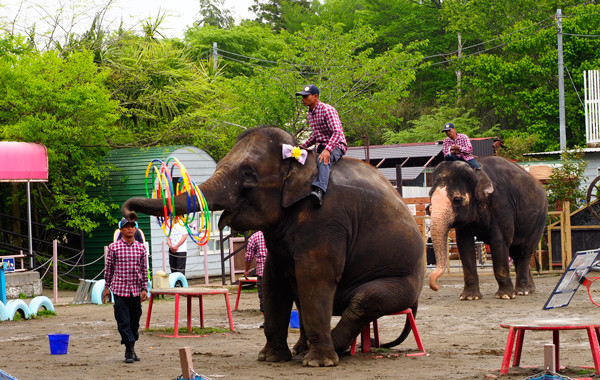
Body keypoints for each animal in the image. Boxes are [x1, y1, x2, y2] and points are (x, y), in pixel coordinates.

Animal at [120, 128, 426, 368]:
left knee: (365, 300)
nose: (130, 215)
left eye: (248, 175)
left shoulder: (326, 218)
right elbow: (272, 279)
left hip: (403, 282)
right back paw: (305, 349)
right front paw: (270, 358)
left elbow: (313, 276)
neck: (304, 162)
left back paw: (331, 350)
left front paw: (317, 364)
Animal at [426, 156, 548, 302]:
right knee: (515, 252)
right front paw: (469, 297)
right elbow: (464, 244)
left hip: (540, 219)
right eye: (430, 195)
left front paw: (505, 295)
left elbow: (499, 242)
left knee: (524, 251)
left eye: (457, 199)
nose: (436, 287)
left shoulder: (501, 205)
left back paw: (521, 291)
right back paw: (530, 289)